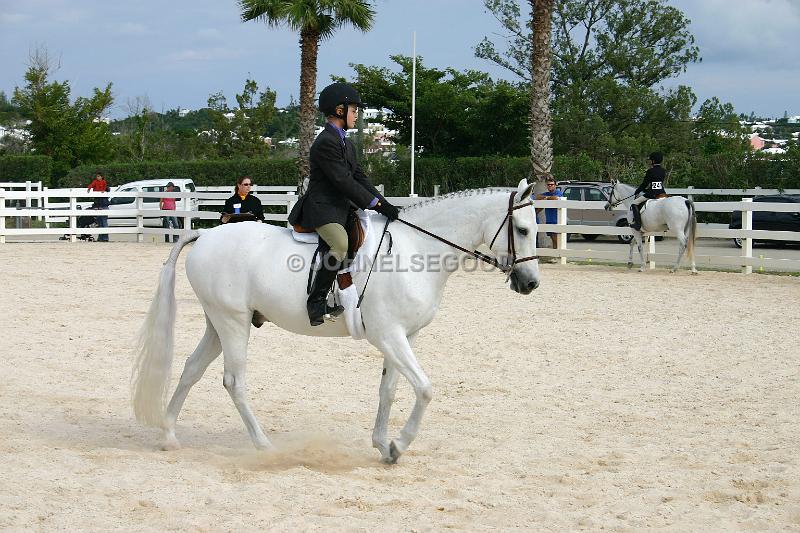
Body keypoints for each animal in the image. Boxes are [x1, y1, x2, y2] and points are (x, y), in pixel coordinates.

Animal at [133, 179, 544, 462]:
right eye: (522, 230)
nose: (530, 283)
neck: (414, 250)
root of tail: (205, 236)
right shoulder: (389, 335)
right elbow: (425, 389)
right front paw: (400, 443)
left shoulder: (403, 336)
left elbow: (389, 390)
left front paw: (383, 445)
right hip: (233, 323)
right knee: (234, 382)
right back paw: (264, 445)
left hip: (218, 323)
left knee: (191, 368)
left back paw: (169, 436)